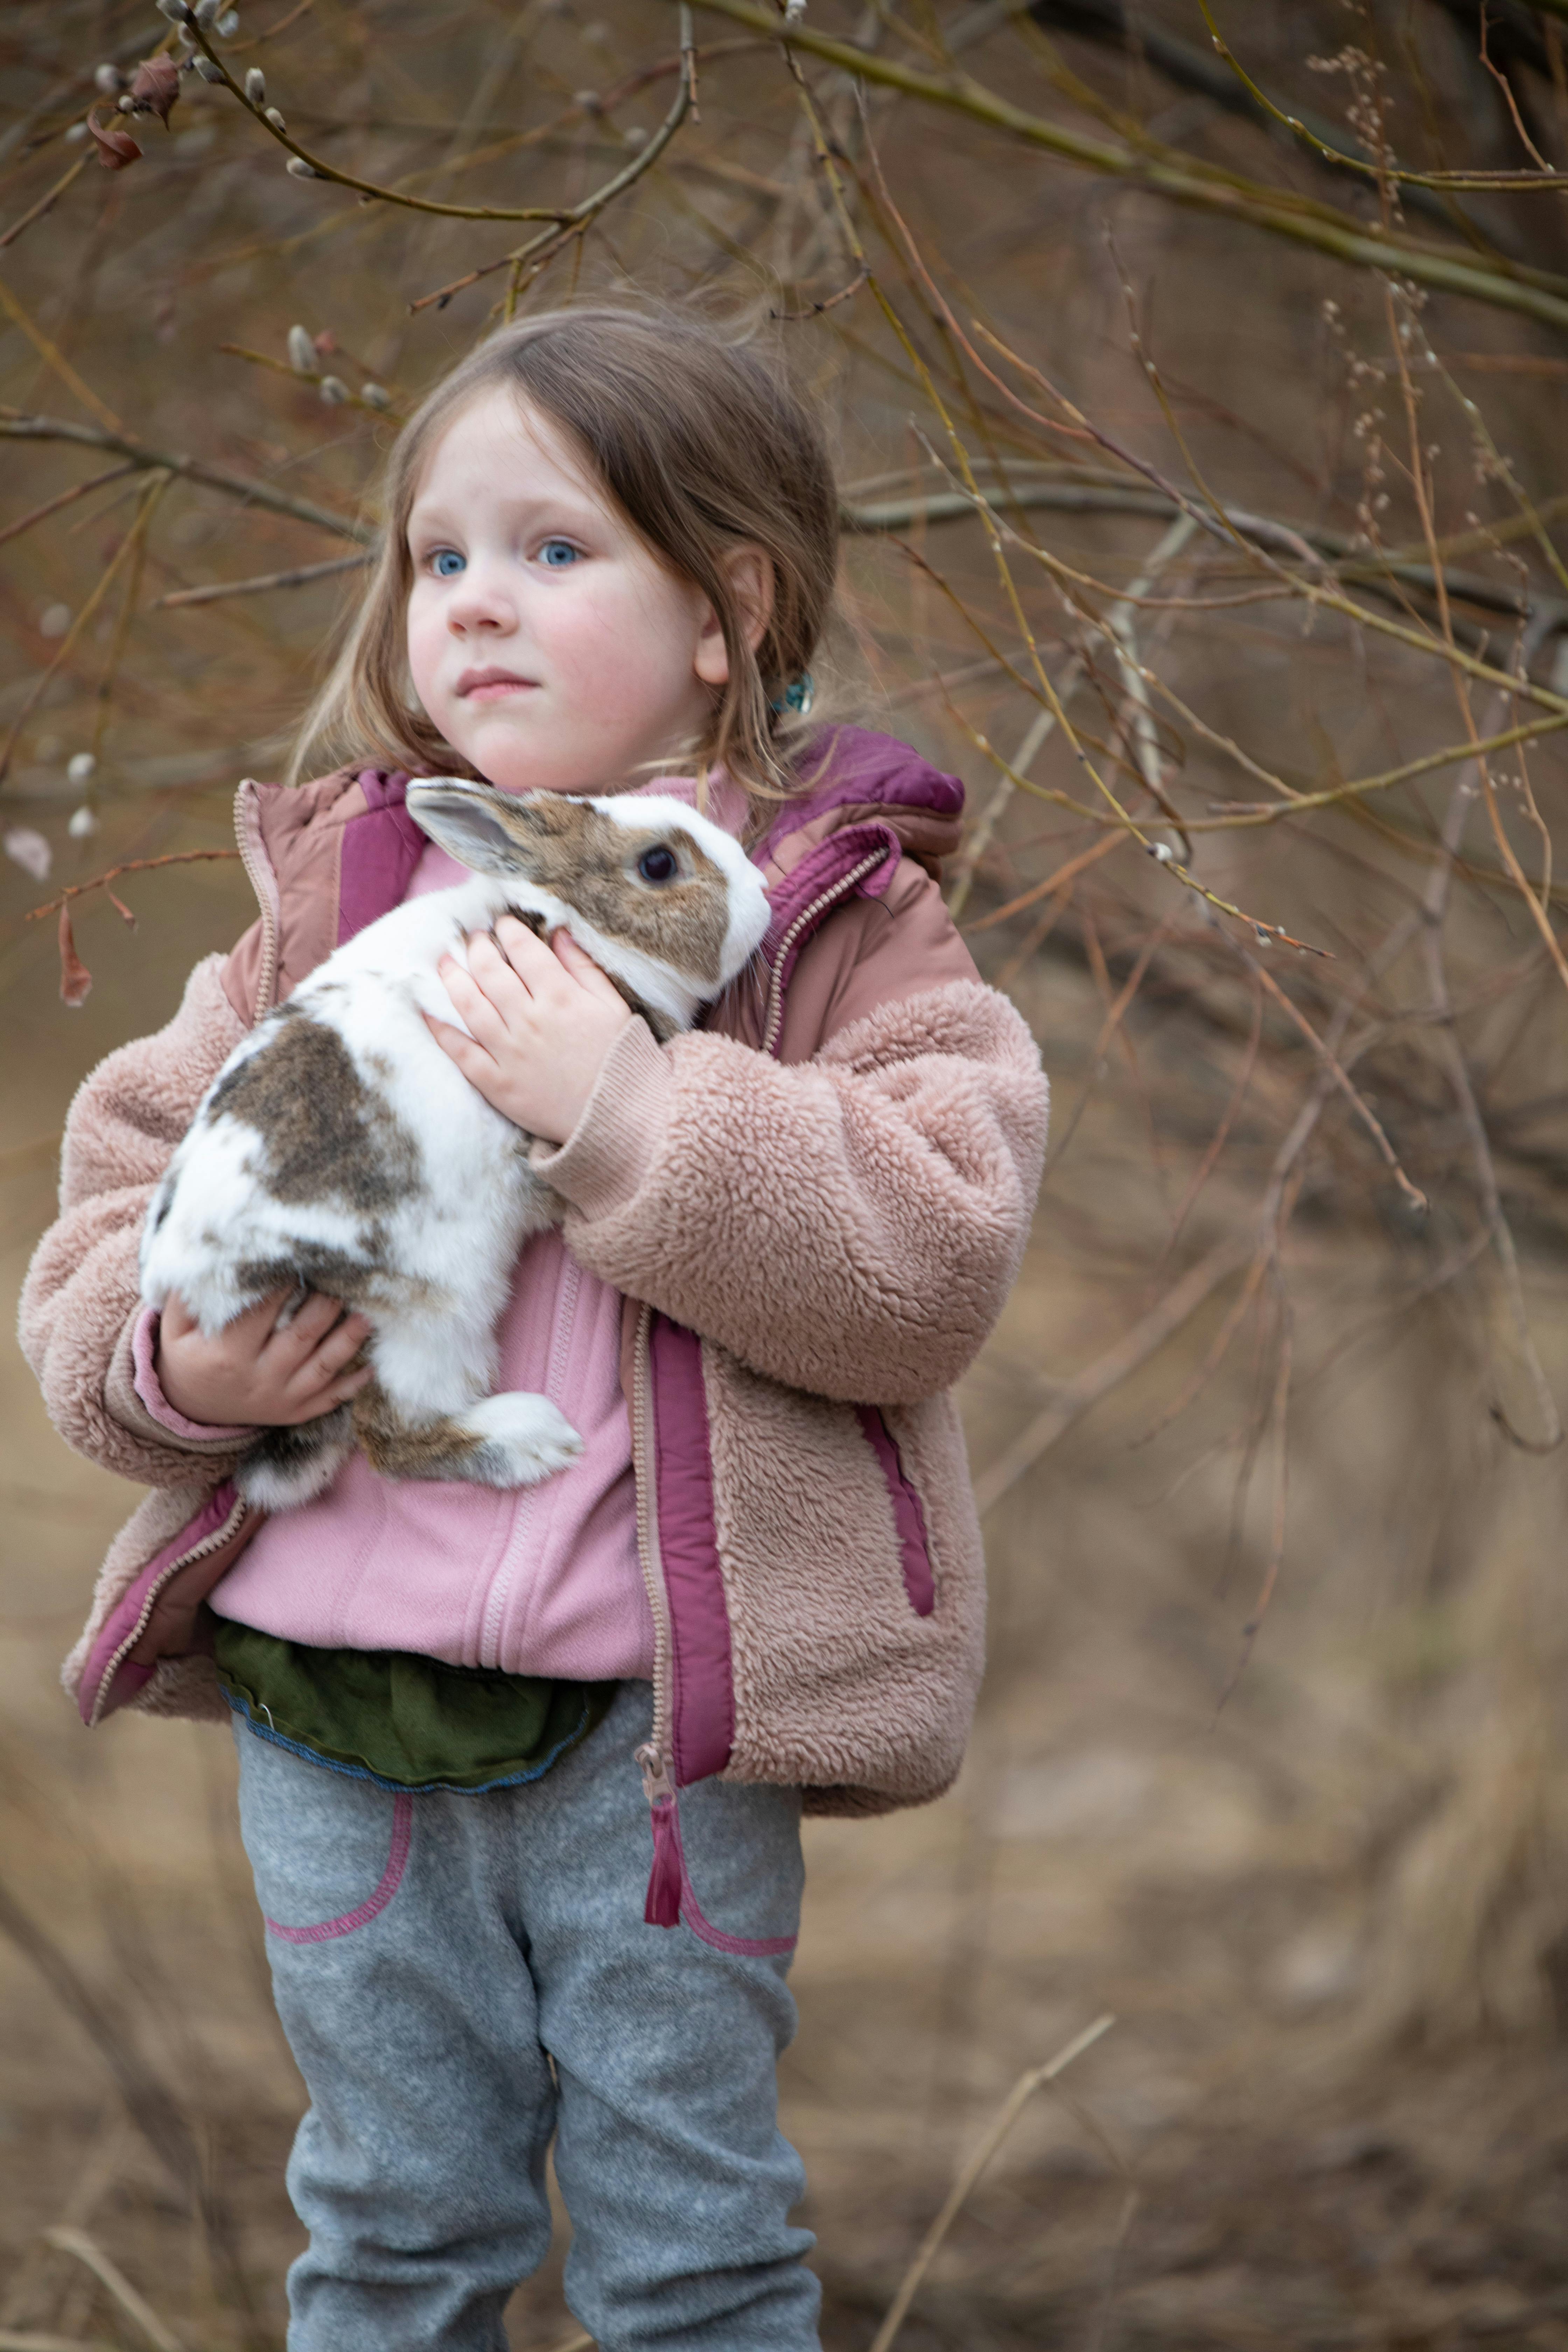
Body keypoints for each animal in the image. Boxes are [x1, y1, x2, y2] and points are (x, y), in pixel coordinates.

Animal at [141, 781, 771, 1514]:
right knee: (395, 1436)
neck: (576, 928)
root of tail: (192, 1292)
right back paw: (534, 1440)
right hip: (435, 1308)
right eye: (660, 865)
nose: (762, 890)